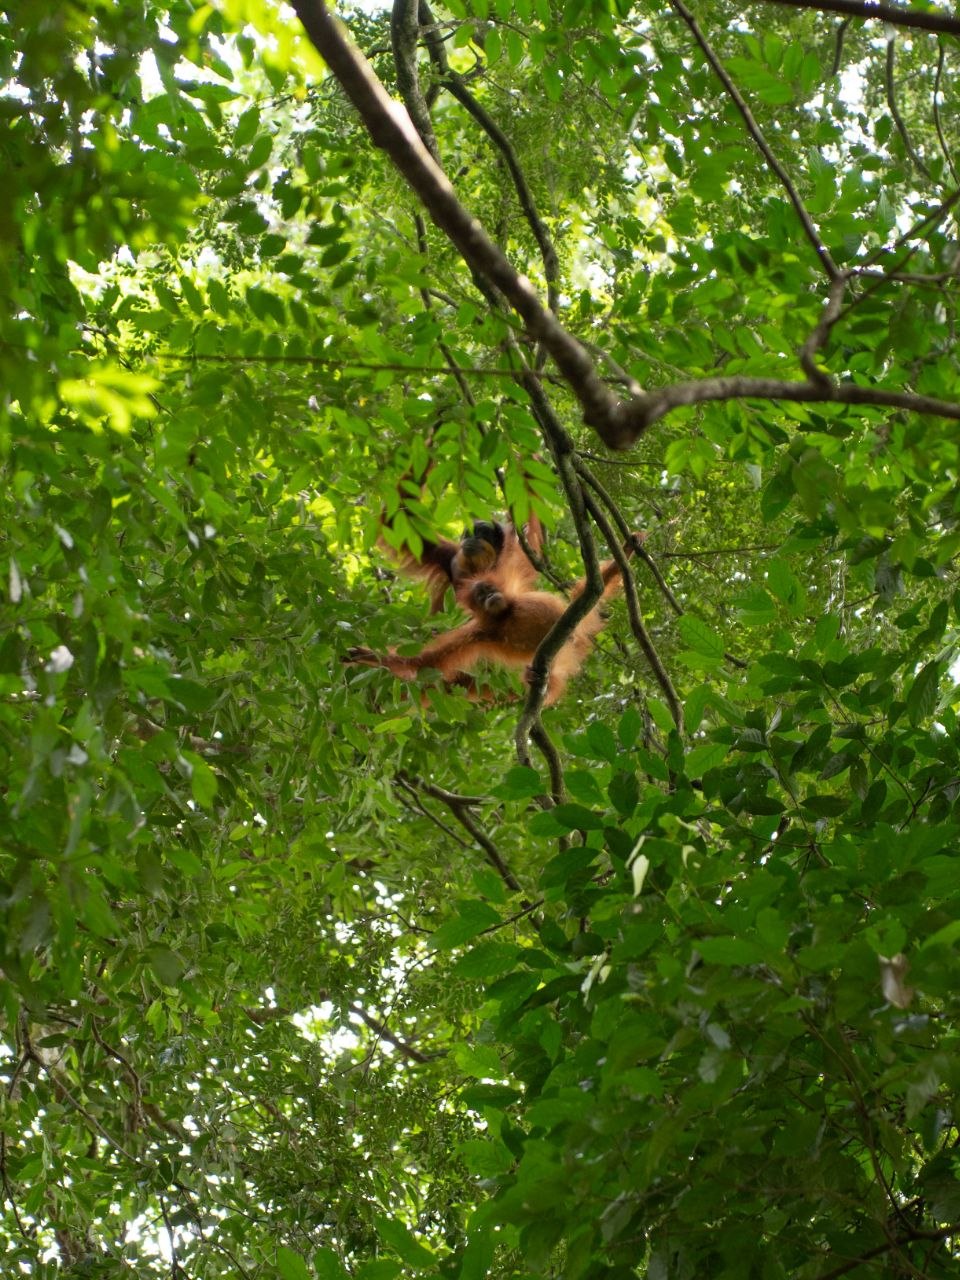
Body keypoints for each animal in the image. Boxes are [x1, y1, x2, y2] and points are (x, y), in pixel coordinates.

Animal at [345, 532, 645, 706]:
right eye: (479, 598)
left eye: (488, 590)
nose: (489, 597)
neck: (506, 614)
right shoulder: (476, 632)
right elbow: (425, 661)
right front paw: (370, 657)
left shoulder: (509, 580)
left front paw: (628, 547)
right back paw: (535, 679)